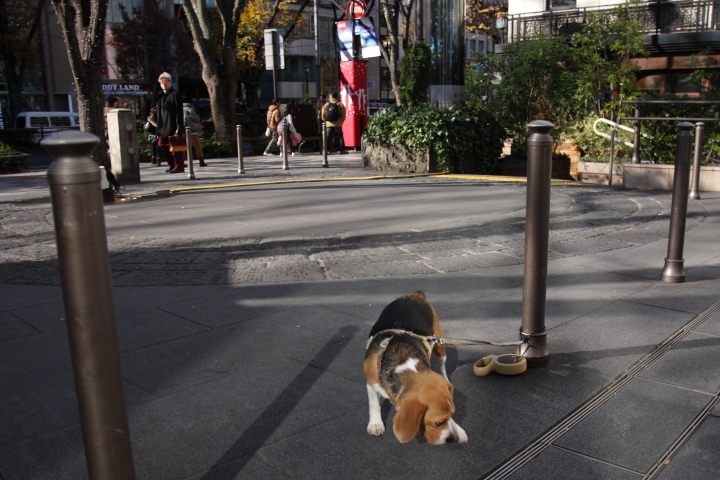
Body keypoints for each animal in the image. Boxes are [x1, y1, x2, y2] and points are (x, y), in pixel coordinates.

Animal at [362, 290, 470, 444]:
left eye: (451, 415)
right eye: (438, 423)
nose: (450, 439)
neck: (401, 363)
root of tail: (414, 295)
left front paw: (458, 430)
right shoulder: (371, 382)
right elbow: (374, 404)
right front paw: (376, 424)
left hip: (439, 345)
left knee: (442, 367)